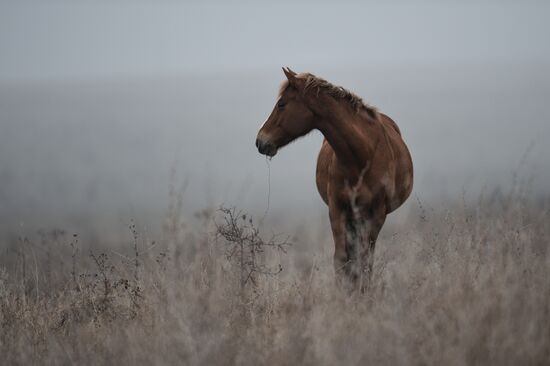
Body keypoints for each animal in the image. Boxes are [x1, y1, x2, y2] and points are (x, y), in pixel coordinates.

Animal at [256, 67, 414, 288]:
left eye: (282, 104)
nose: (260, 141)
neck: (361, 156)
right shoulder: (337, 208)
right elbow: (342, 259)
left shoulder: (377, 214)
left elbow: (364, 261)